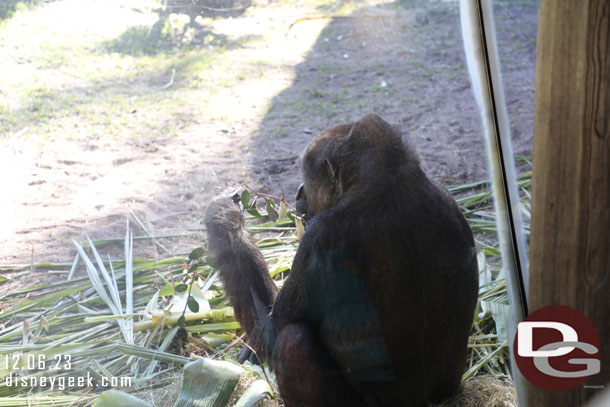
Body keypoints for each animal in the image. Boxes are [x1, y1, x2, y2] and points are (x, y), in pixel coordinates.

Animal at [207, 113, 478, 406]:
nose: (299, 192)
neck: (386, 180)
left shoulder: (318, 239)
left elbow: (267, 335)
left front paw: (223, 219)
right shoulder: (450, 203)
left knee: (293, 343)